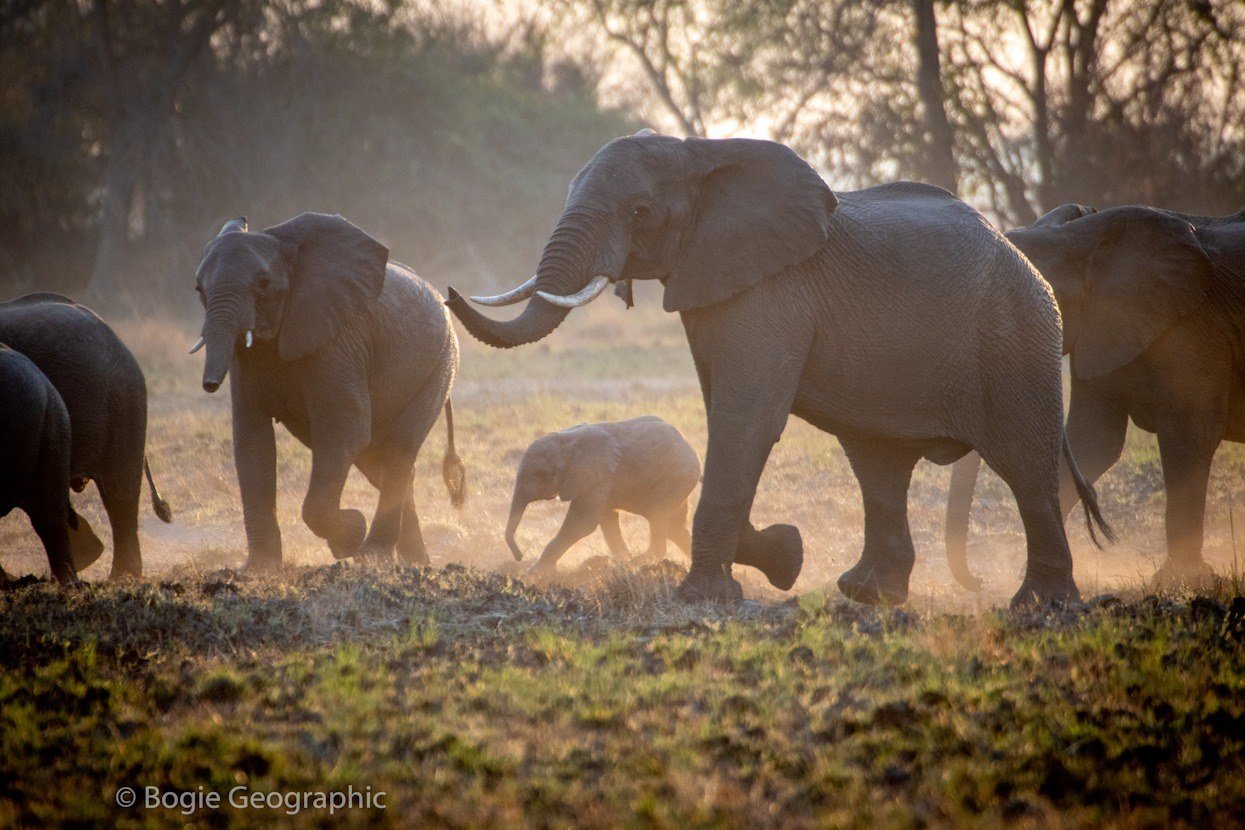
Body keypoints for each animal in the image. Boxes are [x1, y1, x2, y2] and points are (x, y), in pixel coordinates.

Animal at [193, 213, 466, 569]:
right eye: (199, 290)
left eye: (264, 284)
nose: (210, 385)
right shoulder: (246, 360)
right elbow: (252, 442)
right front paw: (257, 571)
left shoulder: (339, 339)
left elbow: (344, 430)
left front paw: (350, 535)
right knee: (378, 462)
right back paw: (413, 563)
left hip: (439, 366)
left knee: (397, 451)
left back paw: (374, 557)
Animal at [505, 415, 701, 574]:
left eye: (540, 474)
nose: (519, 557)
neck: (566, 441)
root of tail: (688, 444)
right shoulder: (601, 479)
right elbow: (605, 519)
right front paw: (621, 564)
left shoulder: (599, 475)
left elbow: (582, 522)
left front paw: (534, 573)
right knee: (674, 526)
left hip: (676, 477)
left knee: (659, 516)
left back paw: (640, 562)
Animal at [946, 203, 1245, 590]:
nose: (979, 581)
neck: (1080, 240)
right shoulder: (1102, 327)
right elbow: (1093, 441)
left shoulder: (1193, 331)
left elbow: (1189, 437)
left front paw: (1180, 580)